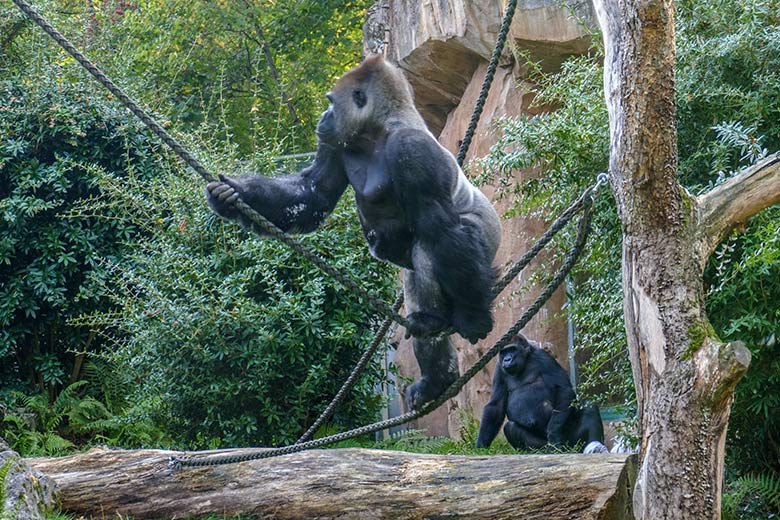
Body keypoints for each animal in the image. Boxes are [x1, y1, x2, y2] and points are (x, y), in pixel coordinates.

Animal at [206, 53, 500, 410]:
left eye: (332, 102)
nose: (323, 115)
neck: (378, 130)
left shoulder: (412, 150)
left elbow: (440, 225)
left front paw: (473, 317)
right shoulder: (336, 144)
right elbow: (312, 194)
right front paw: (234, 196)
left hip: (487, 235)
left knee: (435, 245)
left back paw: (442, 322)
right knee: (416, 272)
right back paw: (436, 374)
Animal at [472, 338, 608, 450]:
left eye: (512, 349)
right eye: (503, 352)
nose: (507, 359)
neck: (525, 360)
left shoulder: (544, 357)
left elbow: (564, 389)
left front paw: (553, 433)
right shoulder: (499, 369)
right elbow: (496, 405)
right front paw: (481, 445)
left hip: (572, 442)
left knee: (589, 406)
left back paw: (594, 445)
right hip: (543, 445)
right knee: (511, 427)